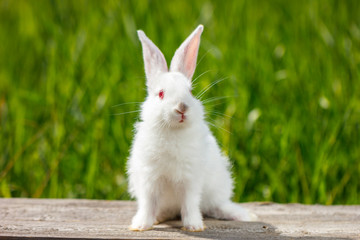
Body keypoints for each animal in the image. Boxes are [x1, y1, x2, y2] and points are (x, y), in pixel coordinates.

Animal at [126, 24, 256, 232]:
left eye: (190, 91)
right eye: (161, 94)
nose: (182, 107)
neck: (173, 132)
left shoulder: (190, 180)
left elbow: (189, 204)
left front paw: (194, 226)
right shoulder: (149, 179)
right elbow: (148, 204)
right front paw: (141, 225)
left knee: (215, 206)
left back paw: (242, 215)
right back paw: (159, 218)